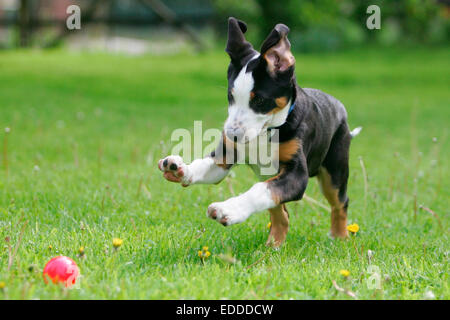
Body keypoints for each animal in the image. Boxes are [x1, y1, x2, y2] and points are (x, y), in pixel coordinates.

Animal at [158, 18, 362, 248]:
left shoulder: (297, 175)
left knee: (340, 202)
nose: (232, 134)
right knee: (281, 213)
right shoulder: (225, 157)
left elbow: (258, 191)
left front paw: (228, 210)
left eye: (260, 100)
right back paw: (273, 246)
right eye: (230, 96)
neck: (267, 132)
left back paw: (340, 236)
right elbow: (205, 167)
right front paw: (180, 169)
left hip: (334, 170)